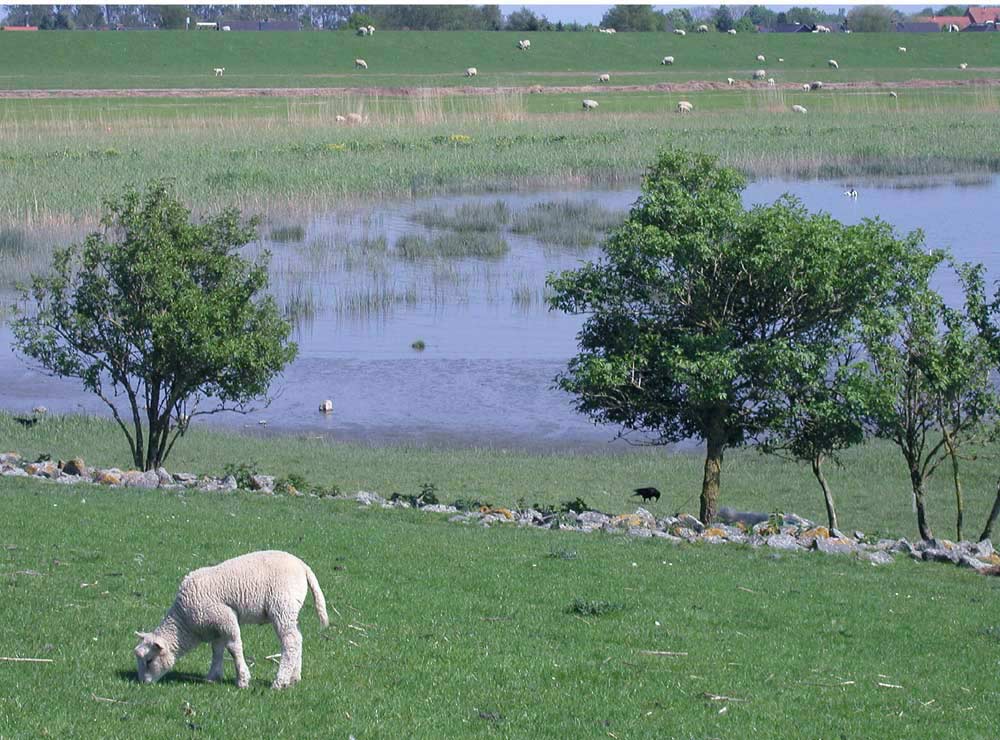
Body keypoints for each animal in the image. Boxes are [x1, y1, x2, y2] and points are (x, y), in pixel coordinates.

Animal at [132, 548, 328, 688]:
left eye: (149, 660)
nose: (142, 683)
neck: (185, 624)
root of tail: (303, 566)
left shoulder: (225, 617)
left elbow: (234, 648)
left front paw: (242, 680)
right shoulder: (215, 626)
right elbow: (217, 649)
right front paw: (212, 677)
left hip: (282, 607)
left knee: (290, 642)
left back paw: (279, 682)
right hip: (290, 611)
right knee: (298, 638)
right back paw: (294, 678)